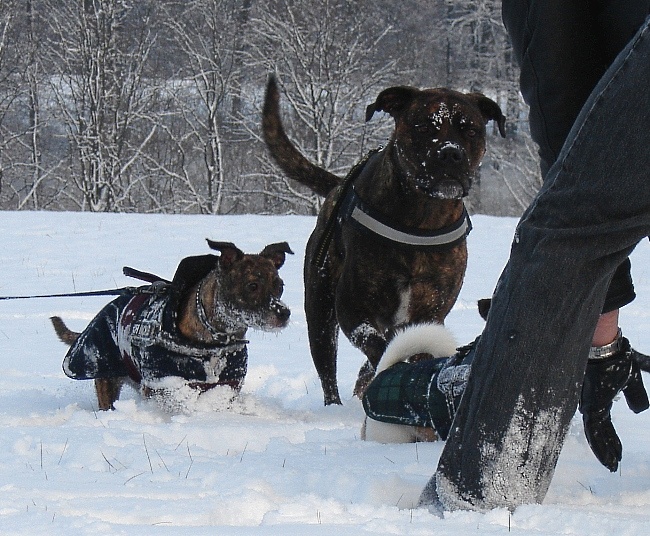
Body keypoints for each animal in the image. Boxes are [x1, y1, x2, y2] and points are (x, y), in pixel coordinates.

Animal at [52, 241, 290, 412]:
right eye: (252, 285)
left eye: (280, 286)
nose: (284, 313)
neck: (214, 343)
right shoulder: (160, 383)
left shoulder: (228, 383)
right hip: (106, 378)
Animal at [260, 74, 504, 402]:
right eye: (424, 127)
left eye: (471, 130)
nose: (451, 152)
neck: (422, 217)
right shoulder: (352, 308)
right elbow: (378, 345)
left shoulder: (430, 311)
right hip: (320, 310)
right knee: (328, 368)